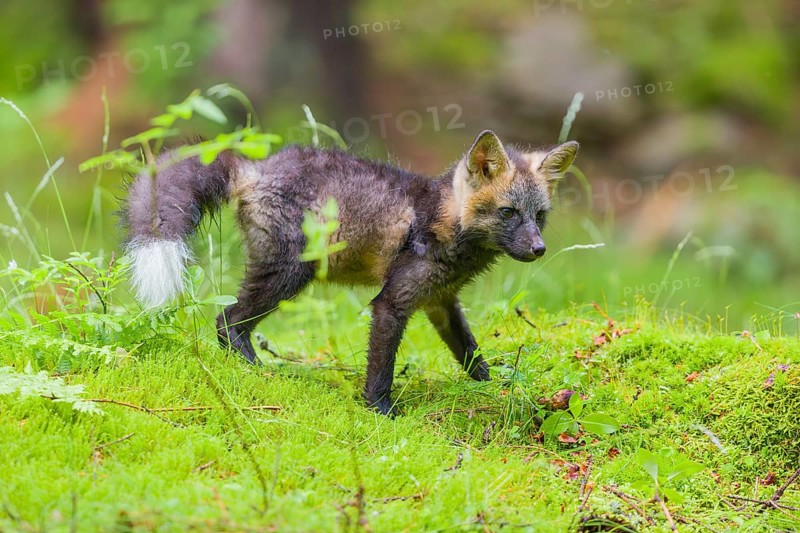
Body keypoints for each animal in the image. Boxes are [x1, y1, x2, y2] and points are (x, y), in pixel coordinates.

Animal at [124, 130, 578, 415]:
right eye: (508, 213)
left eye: (539, 216)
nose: (539, 249)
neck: (442, 222)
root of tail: (257, 166)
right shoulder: (392, 302)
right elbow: (380, 369)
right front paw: (381, 412)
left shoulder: (440, 302)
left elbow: (471, 355)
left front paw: (496, 388)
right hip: (289, 275)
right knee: (227, 321)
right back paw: (255, 369)